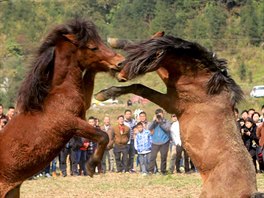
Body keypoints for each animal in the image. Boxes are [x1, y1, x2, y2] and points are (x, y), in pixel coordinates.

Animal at [0, 19, 124, 198]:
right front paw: (91, 166)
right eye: (93, 47)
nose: (120, 62)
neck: (58, 93)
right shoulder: (73, 124)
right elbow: (103, 136)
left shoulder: (82, 111)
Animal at [95, 34, 260, 197]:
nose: (120, 74)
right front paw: (115, 41)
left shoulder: (171, 103)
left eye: (147, 58)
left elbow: (140, 88)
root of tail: (250, 191)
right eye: (136, 50)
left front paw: (103, 94)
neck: (202, 82)